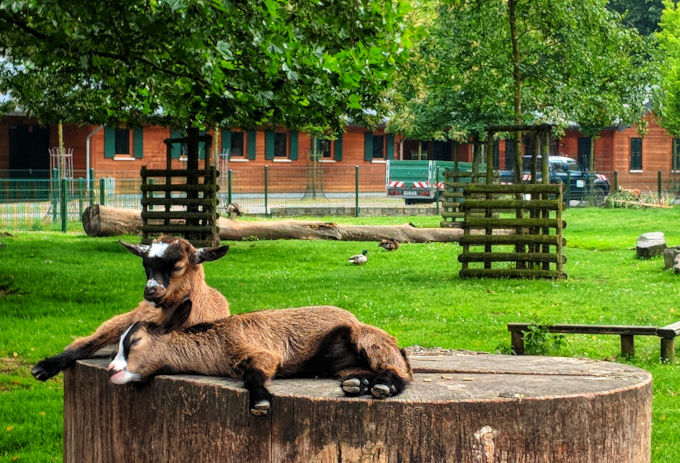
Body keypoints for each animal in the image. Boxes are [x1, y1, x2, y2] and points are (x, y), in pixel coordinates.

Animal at [31, 237, 230, 382]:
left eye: (178, 267)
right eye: (145, 265)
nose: (150, 290)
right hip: (124, 319)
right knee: (86, 341)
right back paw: (42, 368)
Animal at [109, 300, 412, 416]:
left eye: (135, 341)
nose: (112, 369)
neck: (216, 343)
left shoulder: (257, 351)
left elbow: (253, 375)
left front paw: (260, 402)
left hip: (366, 336)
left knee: (397, 368)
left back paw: (384, 385)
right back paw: (358, 383)